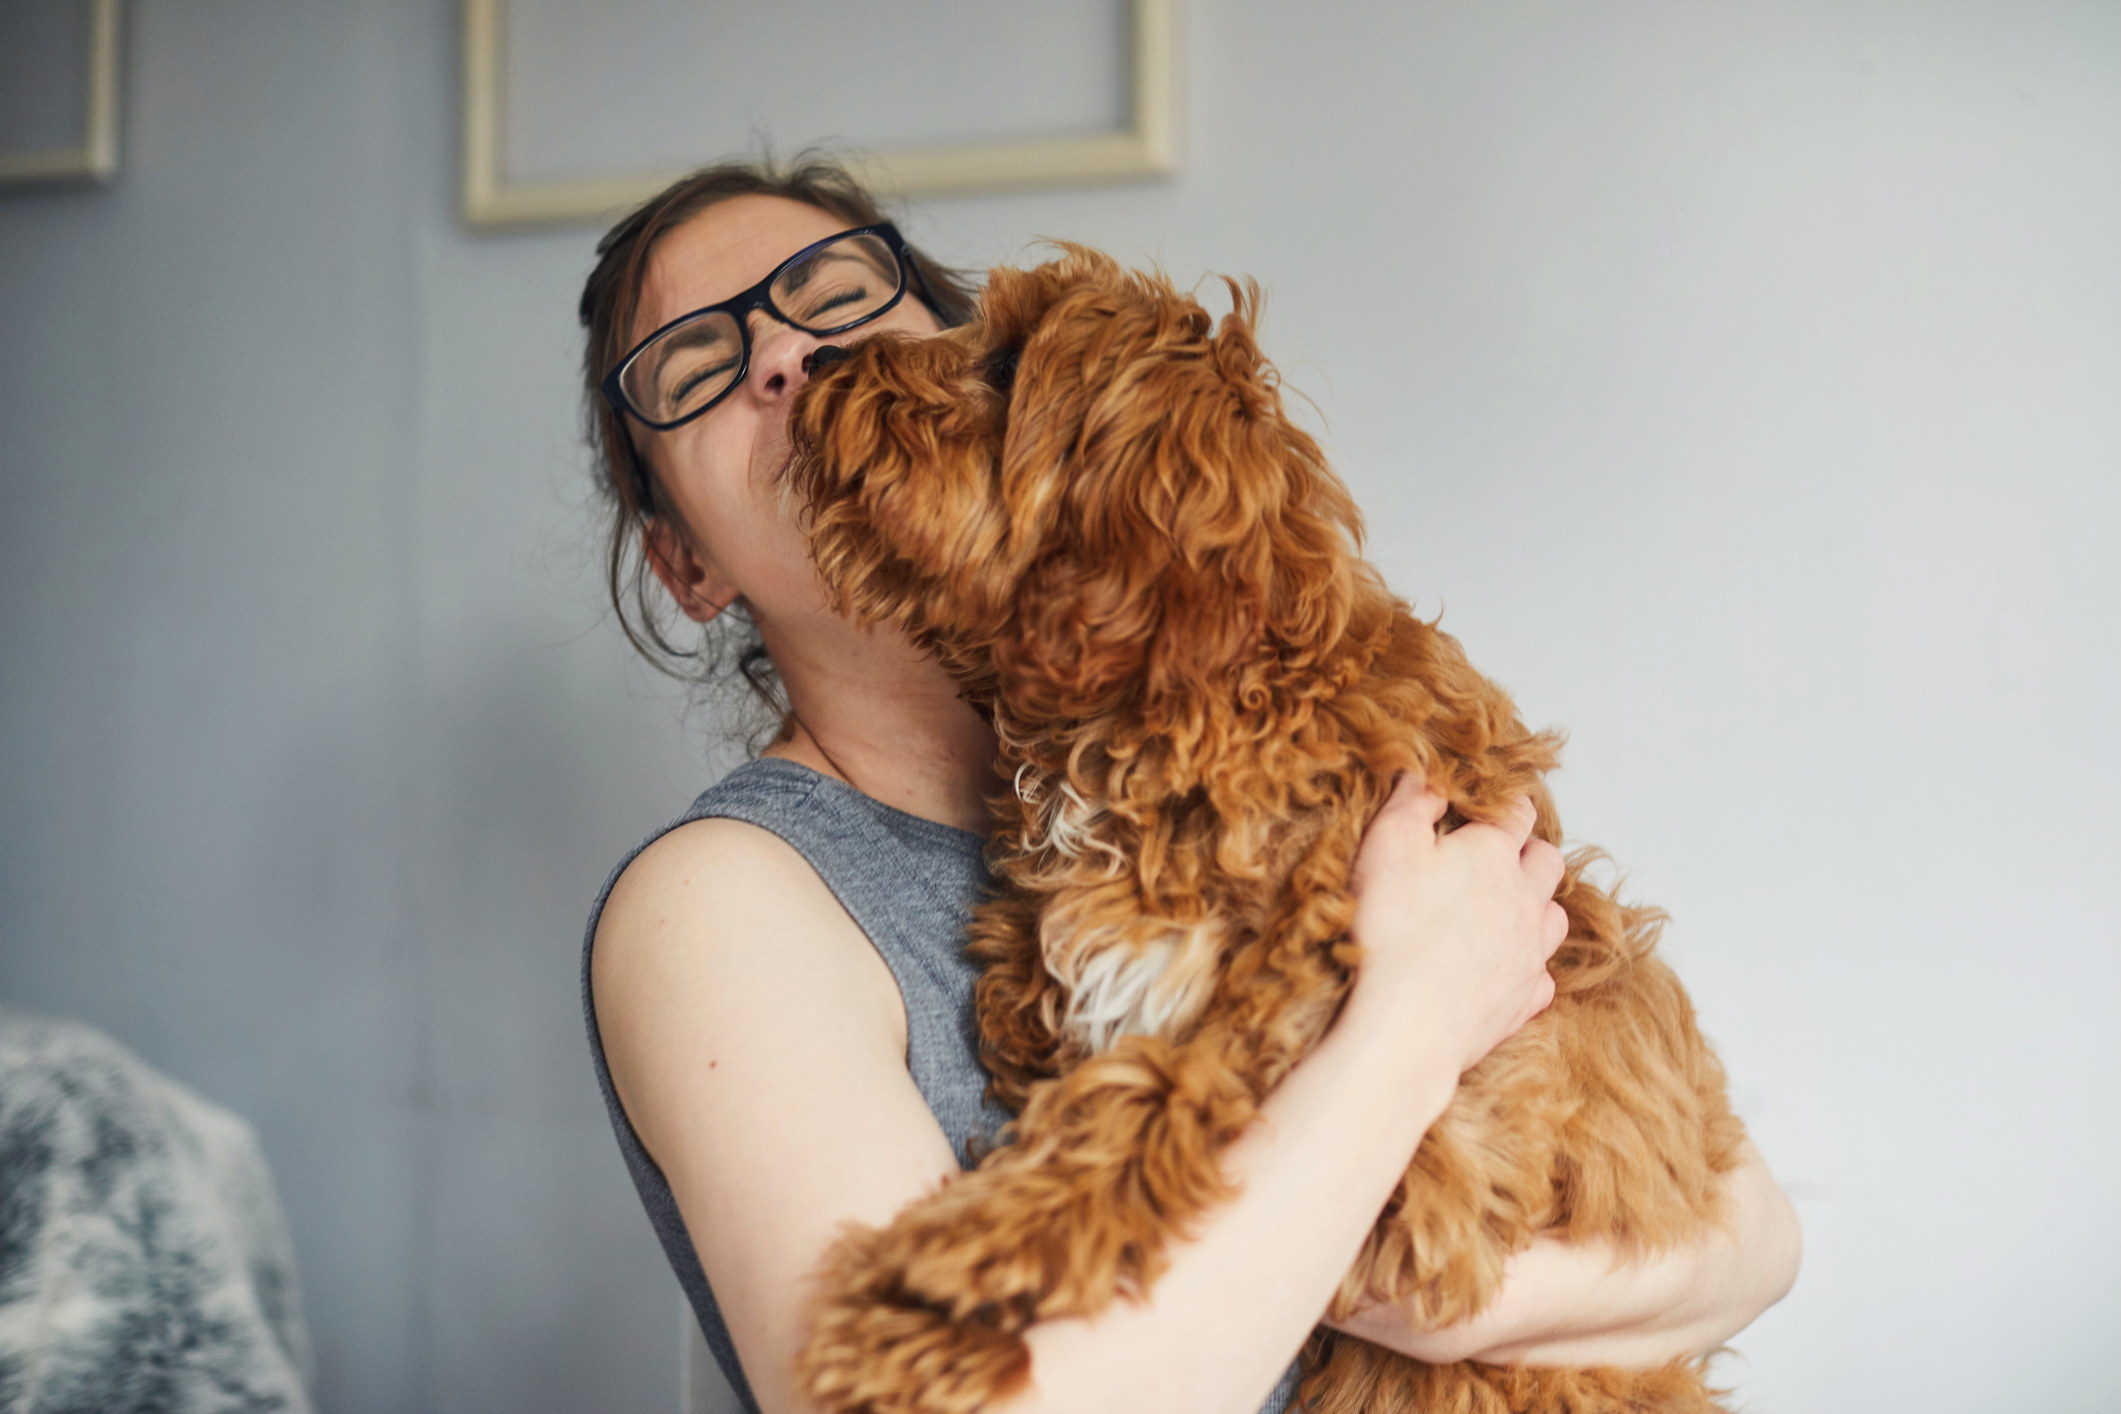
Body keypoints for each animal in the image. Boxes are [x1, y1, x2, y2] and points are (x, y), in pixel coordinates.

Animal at [789, 249, 1747, 1407]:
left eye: (1009, 362)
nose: (818, 362)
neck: (1190, 709)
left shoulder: (1384, 1120)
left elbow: (1145, 1102)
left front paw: (933, 1292)